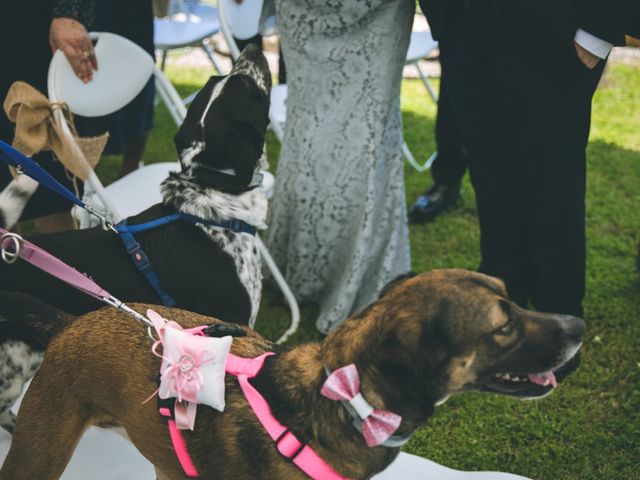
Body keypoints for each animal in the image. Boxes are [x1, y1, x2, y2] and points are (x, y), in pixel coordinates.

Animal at [0, 270, 584, 480]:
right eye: (503, 327)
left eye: (513, 300)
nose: (578, 326)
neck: (344, 399)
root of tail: (71, 323)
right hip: (38, 454)